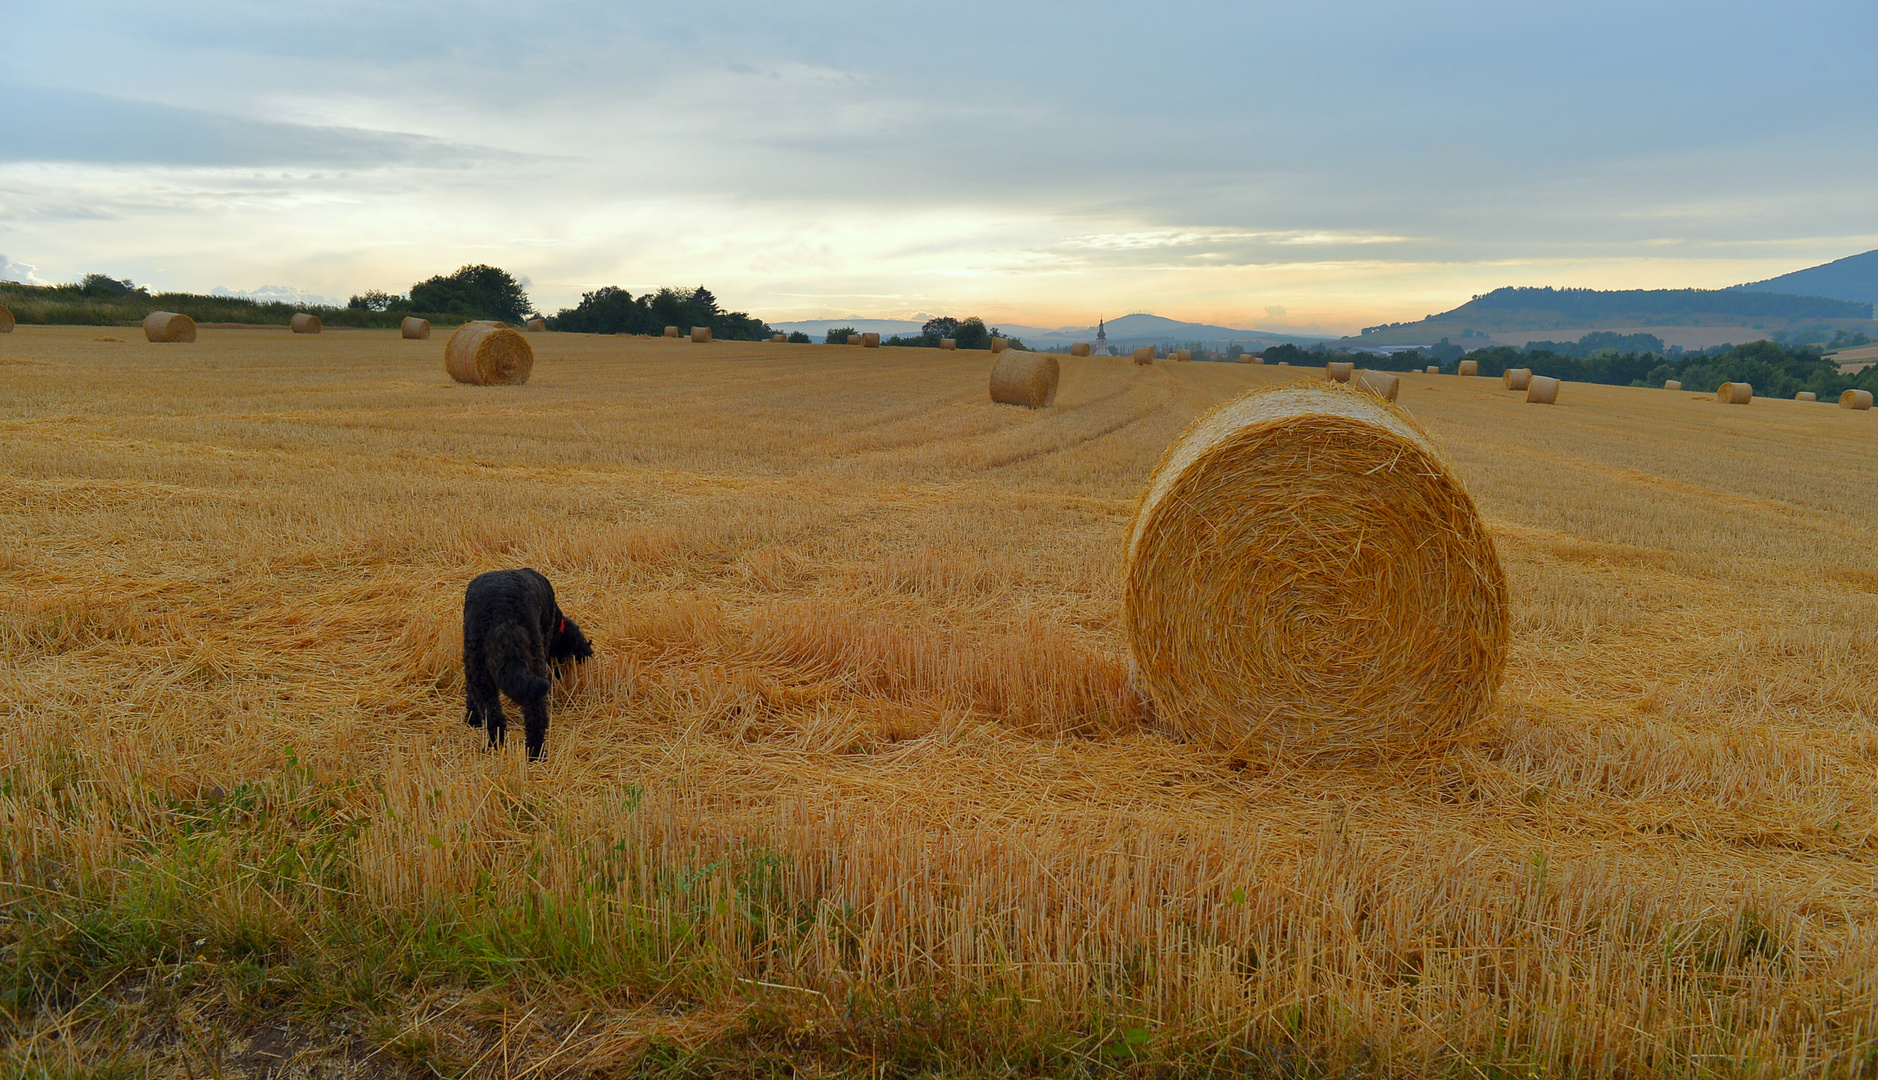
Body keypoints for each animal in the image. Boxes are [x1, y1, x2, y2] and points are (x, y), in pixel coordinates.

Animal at [463, 567, 593, 758]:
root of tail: (503, 612)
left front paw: (472, 718)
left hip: (478, 667)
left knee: (493, 716)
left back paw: (495, 748)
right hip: (534, 658)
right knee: (535, 714)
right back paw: (536, 753)